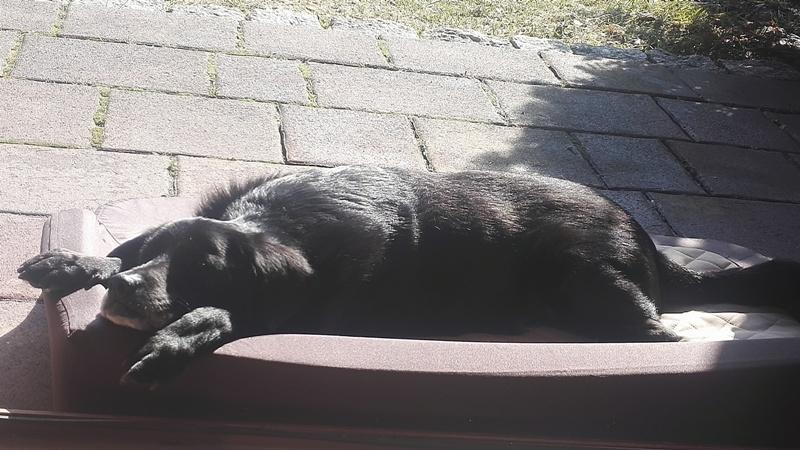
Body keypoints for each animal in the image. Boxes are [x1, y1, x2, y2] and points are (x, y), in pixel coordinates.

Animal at [17, 166, 800, 385]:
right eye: (159, 253)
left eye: (207, 269)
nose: (127, 295)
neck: (279, 225)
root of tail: (650, 246)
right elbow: (117, 249)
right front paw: (71, 261)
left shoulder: (313, 310)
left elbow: (234, 316)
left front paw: (174, 339)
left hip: (588, 280)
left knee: (663, 336)